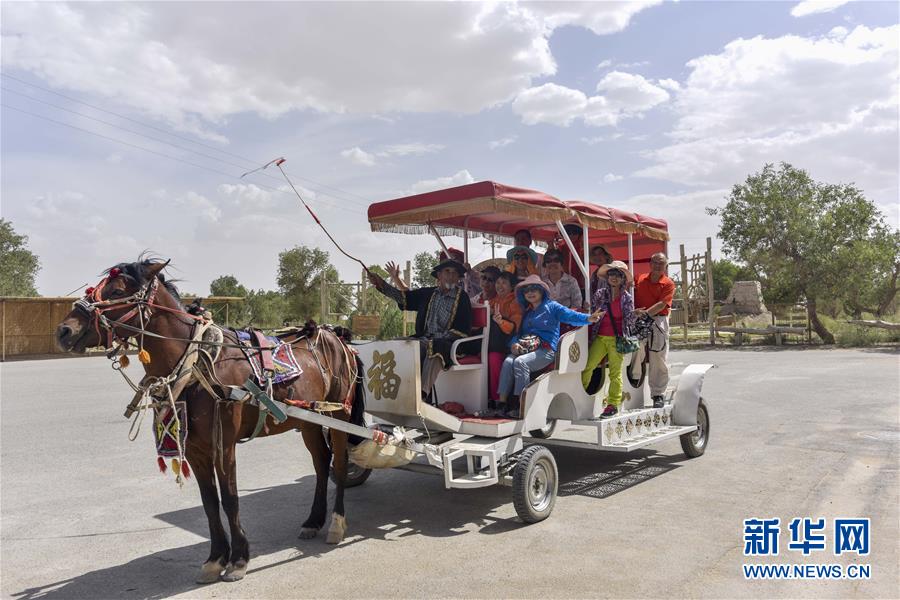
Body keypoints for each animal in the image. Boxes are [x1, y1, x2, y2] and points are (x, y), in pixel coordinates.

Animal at [55, 256, 366, 580]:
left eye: (116, 291)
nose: (63, 331)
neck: (198, 364)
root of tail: (337, 337)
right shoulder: (195, 447)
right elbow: (209, 502)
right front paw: (216, 558)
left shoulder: (224, 443)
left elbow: (229, 498)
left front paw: (239, 559)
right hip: (310, 420)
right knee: (321, 463)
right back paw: (313, 520)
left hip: (340, 414)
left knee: (339, 463)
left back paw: (336, 523)